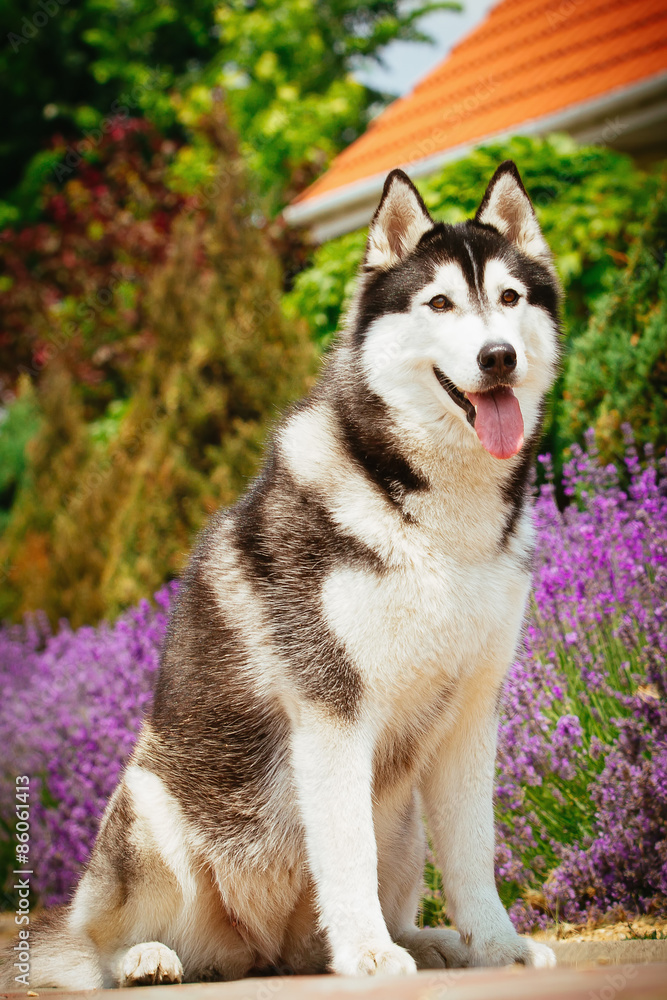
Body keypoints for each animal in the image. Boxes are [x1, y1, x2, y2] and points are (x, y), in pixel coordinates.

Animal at [11, 160, 564, 988]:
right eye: (438, 302)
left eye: (508, 298)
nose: (498, 356)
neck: (431, 521)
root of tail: (257, 952)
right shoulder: (331, 713)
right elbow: (345, 852)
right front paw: (369, 952)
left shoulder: (470, 715)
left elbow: (473, 854)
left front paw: (496, 946)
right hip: (149, 804)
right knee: (99, 949)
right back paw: (147, 956)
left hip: (401, 820)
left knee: (327, 931)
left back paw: (425, 940)